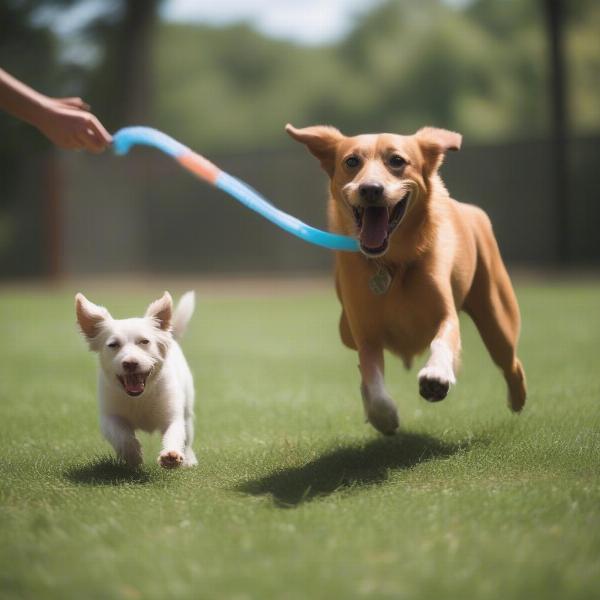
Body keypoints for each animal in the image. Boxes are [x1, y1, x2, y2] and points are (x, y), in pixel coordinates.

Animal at [74, 290, 197, 468]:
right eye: (113, 345)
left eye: (144, 341)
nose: (130, 363)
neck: (139, 398)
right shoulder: (109, 418)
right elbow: (122, 437)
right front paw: (132, 456)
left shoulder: (172, 416)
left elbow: (174, 434)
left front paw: (171, 455)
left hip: (187, 411)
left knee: (187, 439)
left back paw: (189, 459)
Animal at [286, 124, 524, 434]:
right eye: (351, 161)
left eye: (397, 160)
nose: (370, 189)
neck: (392, 262)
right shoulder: (366, 334)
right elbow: (371, 378)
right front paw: (383, 416)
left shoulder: (446, 314)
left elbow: (443, 340)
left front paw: (436, 375)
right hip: (345, 330)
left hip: (498, 319)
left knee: (510, 362)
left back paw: (517, 398)